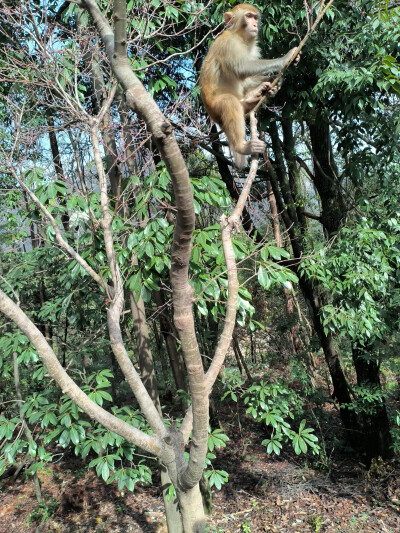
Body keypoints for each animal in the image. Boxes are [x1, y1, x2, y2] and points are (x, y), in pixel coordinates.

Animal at [200, 3, 300, 167]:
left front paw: (274, 81)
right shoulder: (228, 44)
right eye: (248, 16)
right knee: (229, 102)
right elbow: (241, 68)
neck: (240, 37)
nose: (254, 24)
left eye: (255, 17)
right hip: (215, 108)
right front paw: (285, 58)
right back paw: (242, 147)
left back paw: (255, 96)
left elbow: (246, 79)